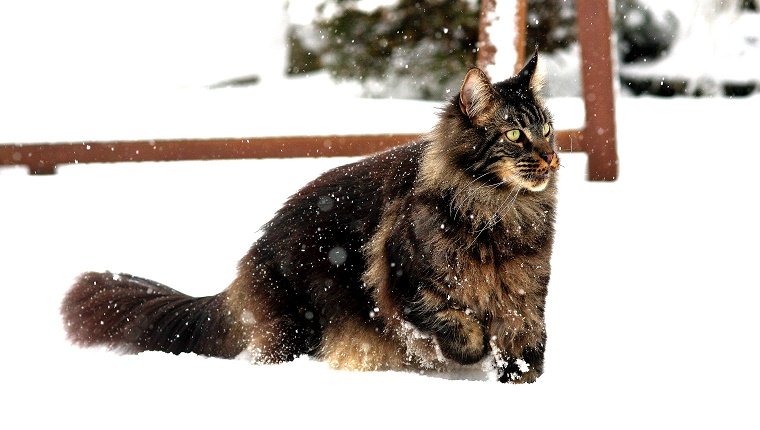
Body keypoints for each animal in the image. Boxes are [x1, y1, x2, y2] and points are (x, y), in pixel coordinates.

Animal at [62, 52, 560, 384]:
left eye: (547, 129)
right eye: (515, 135)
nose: (552, 157)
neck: (500, 213)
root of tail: (251, 256)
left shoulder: (524, 297)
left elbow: (525, 347)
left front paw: (520, 383)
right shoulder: (406, 287)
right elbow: (457, 324)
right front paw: (474, 351)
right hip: (300, 320)